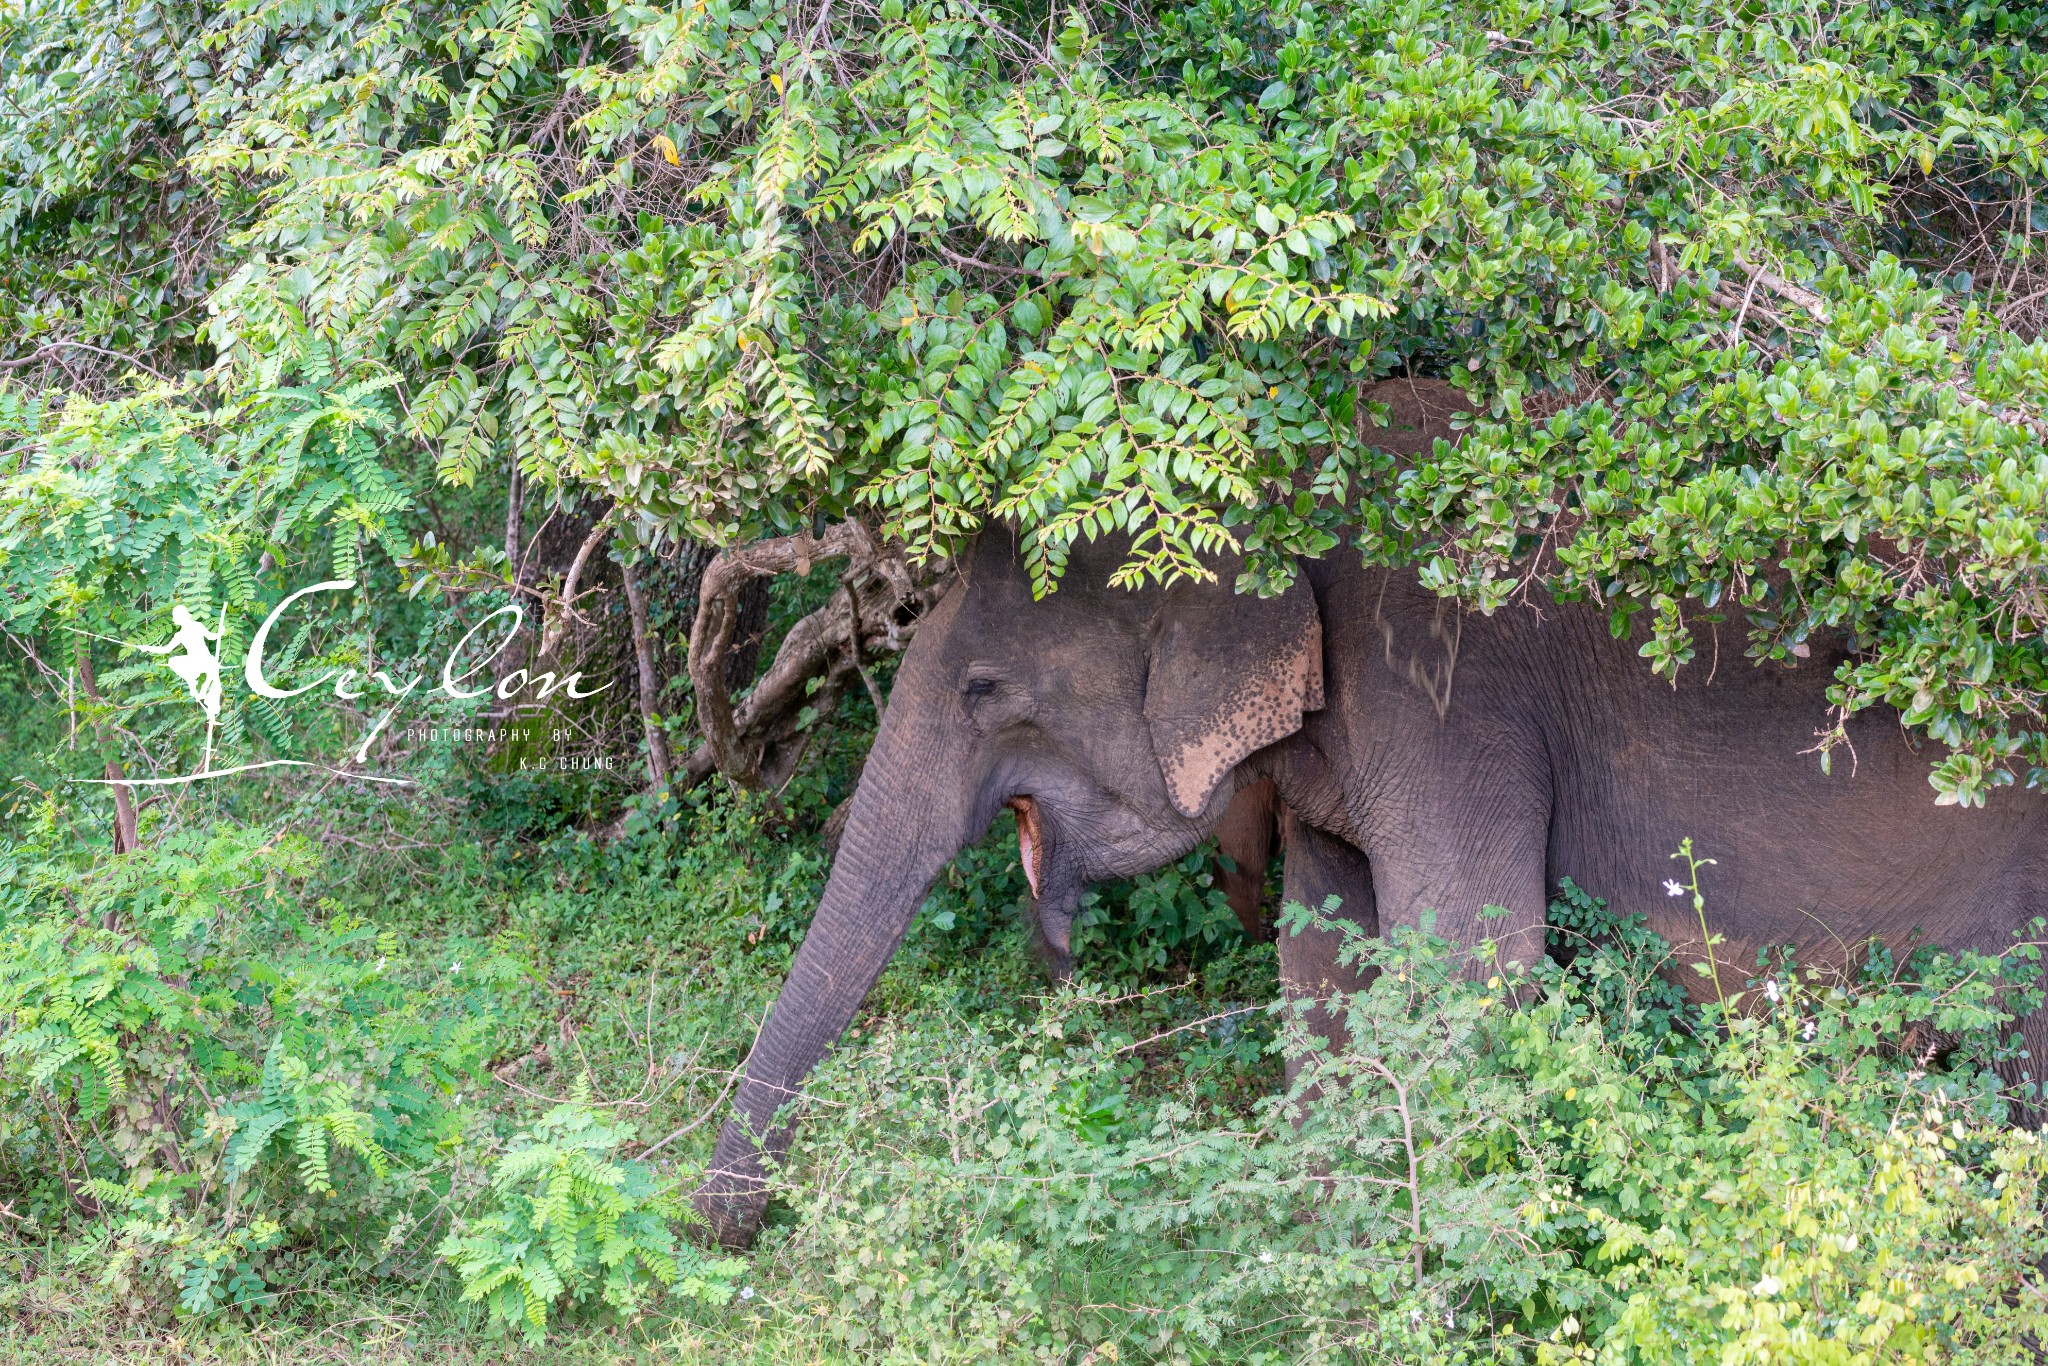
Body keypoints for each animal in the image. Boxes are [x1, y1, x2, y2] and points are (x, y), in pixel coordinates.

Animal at [688, 382, 2048, 1253]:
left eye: (982, 690)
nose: (724, 1229)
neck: (1264, 464)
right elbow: (1322, 965)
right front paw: (1330, 1244)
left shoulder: (1445, 696)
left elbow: (1471, 959)